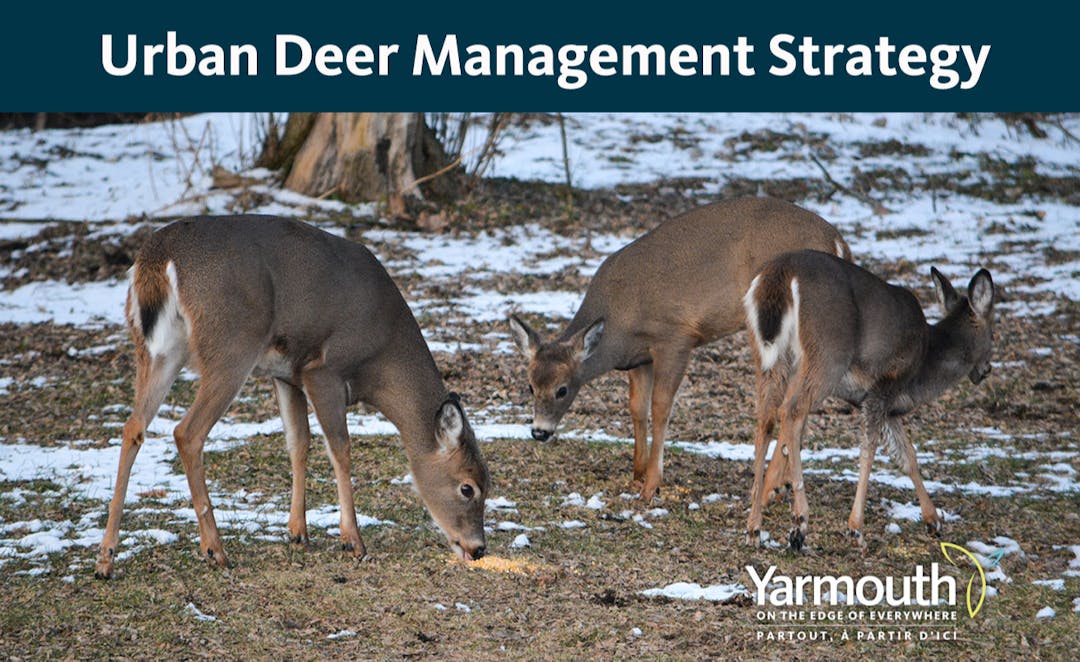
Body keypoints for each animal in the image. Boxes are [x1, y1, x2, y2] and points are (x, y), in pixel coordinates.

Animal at [92, 213, 490, 574]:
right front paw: (353, 541)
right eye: (468, 488)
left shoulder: (287, 375)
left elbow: (299, 443)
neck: (382, 357)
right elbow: (340, 448)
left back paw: (106, 559)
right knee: (187, 432)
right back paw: (215, 550)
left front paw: (298, 531)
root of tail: (158, 256)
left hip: (158, 349)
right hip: (231, 344)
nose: (478, 548)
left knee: (134, 426)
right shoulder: (323, 370)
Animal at [505, 196, 851, 501]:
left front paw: (651, 486)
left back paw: (771, 489)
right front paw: (638, 473)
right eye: (530, 386)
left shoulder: (675, 338)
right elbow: (637, 407)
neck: (619, 320)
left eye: (562, 389)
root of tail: (837, 241)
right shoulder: (639, 358)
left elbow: (661, 408)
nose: (539, 432)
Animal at [743, 250, 993, 550]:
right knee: (791, 412)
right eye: (994, 334)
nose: (987, 370)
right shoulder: (883, 387)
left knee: (765, 418)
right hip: (827, 353)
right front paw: (855, 528)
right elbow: (869, 449)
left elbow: (907, 455)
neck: (923, 367)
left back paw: (754, 528)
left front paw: (933, 520)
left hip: (769, 358)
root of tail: (781, 273)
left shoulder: (886, 407)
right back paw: (799, 523)